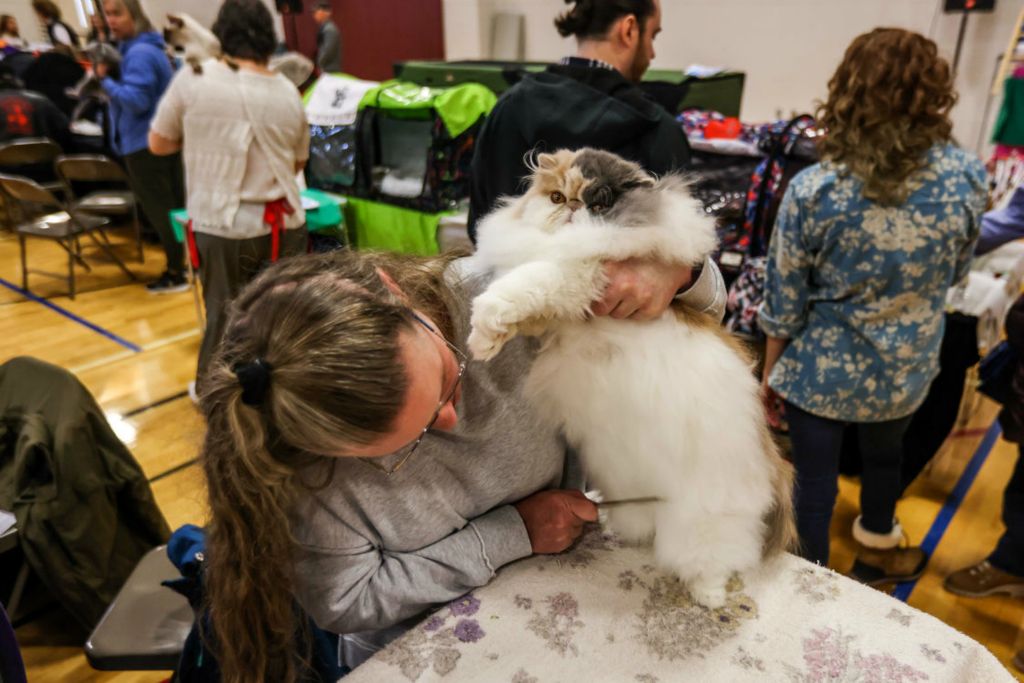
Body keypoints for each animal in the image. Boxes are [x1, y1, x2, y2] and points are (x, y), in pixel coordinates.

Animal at [468, 149, 794, 610]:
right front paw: (485, 343)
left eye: (601, 201)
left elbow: (519, 288)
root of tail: (770, 458)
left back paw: (709, 597)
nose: (573, 207)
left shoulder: (576, 276)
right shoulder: (559, 308)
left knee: (716, 558)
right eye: (556, 196)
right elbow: (520, 307)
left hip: (704, 520)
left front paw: (481, 330)